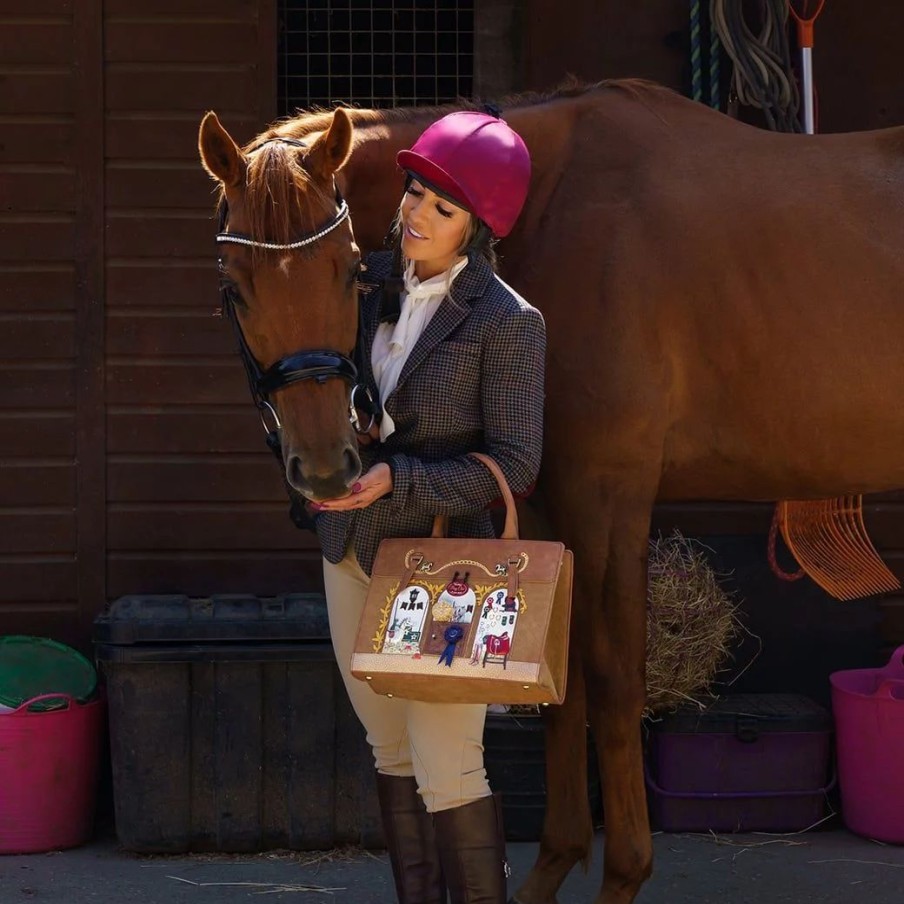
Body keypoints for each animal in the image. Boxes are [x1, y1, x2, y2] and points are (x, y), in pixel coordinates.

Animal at [201, 79, 904, 904]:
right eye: (234, 290)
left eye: (349, 271)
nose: (324, 469)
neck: (556, 211)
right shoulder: (539, 500)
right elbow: (558, 682)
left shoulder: (611, 497)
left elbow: (613, 677)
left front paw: (624, 871)